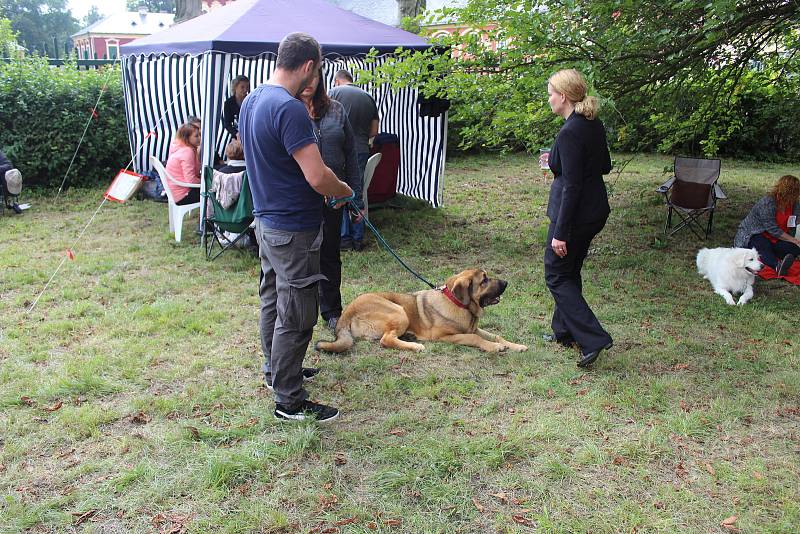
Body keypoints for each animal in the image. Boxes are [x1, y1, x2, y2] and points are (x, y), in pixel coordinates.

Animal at [314, 270, 532, 354]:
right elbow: (476, 339)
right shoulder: (446, 336)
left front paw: (516, 345)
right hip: (399, 311)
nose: (506, 283)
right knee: (386, 340)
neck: (459, 305)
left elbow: (496, 335)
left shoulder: (474, 328)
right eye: (484, 280)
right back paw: (414, 346)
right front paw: (494, 347)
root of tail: (346, 314)